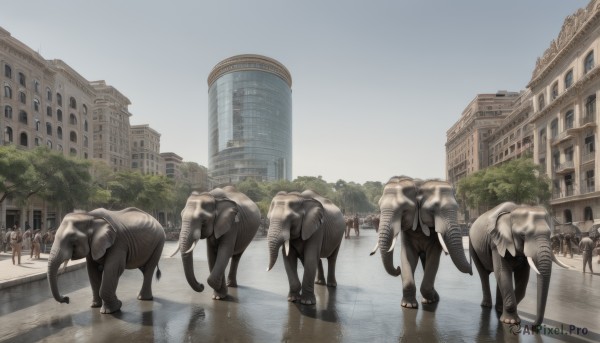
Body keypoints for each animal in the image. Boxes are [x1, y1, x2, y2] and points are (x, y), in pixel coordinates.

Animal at [372, 177, 472, 310]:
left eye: (404, 210)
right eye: (432, 210)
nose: (398, 269)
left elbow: (433, 259)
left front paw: (430, 300)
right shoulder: (408, 233)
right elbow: (408, 256)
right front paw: (408, 305)